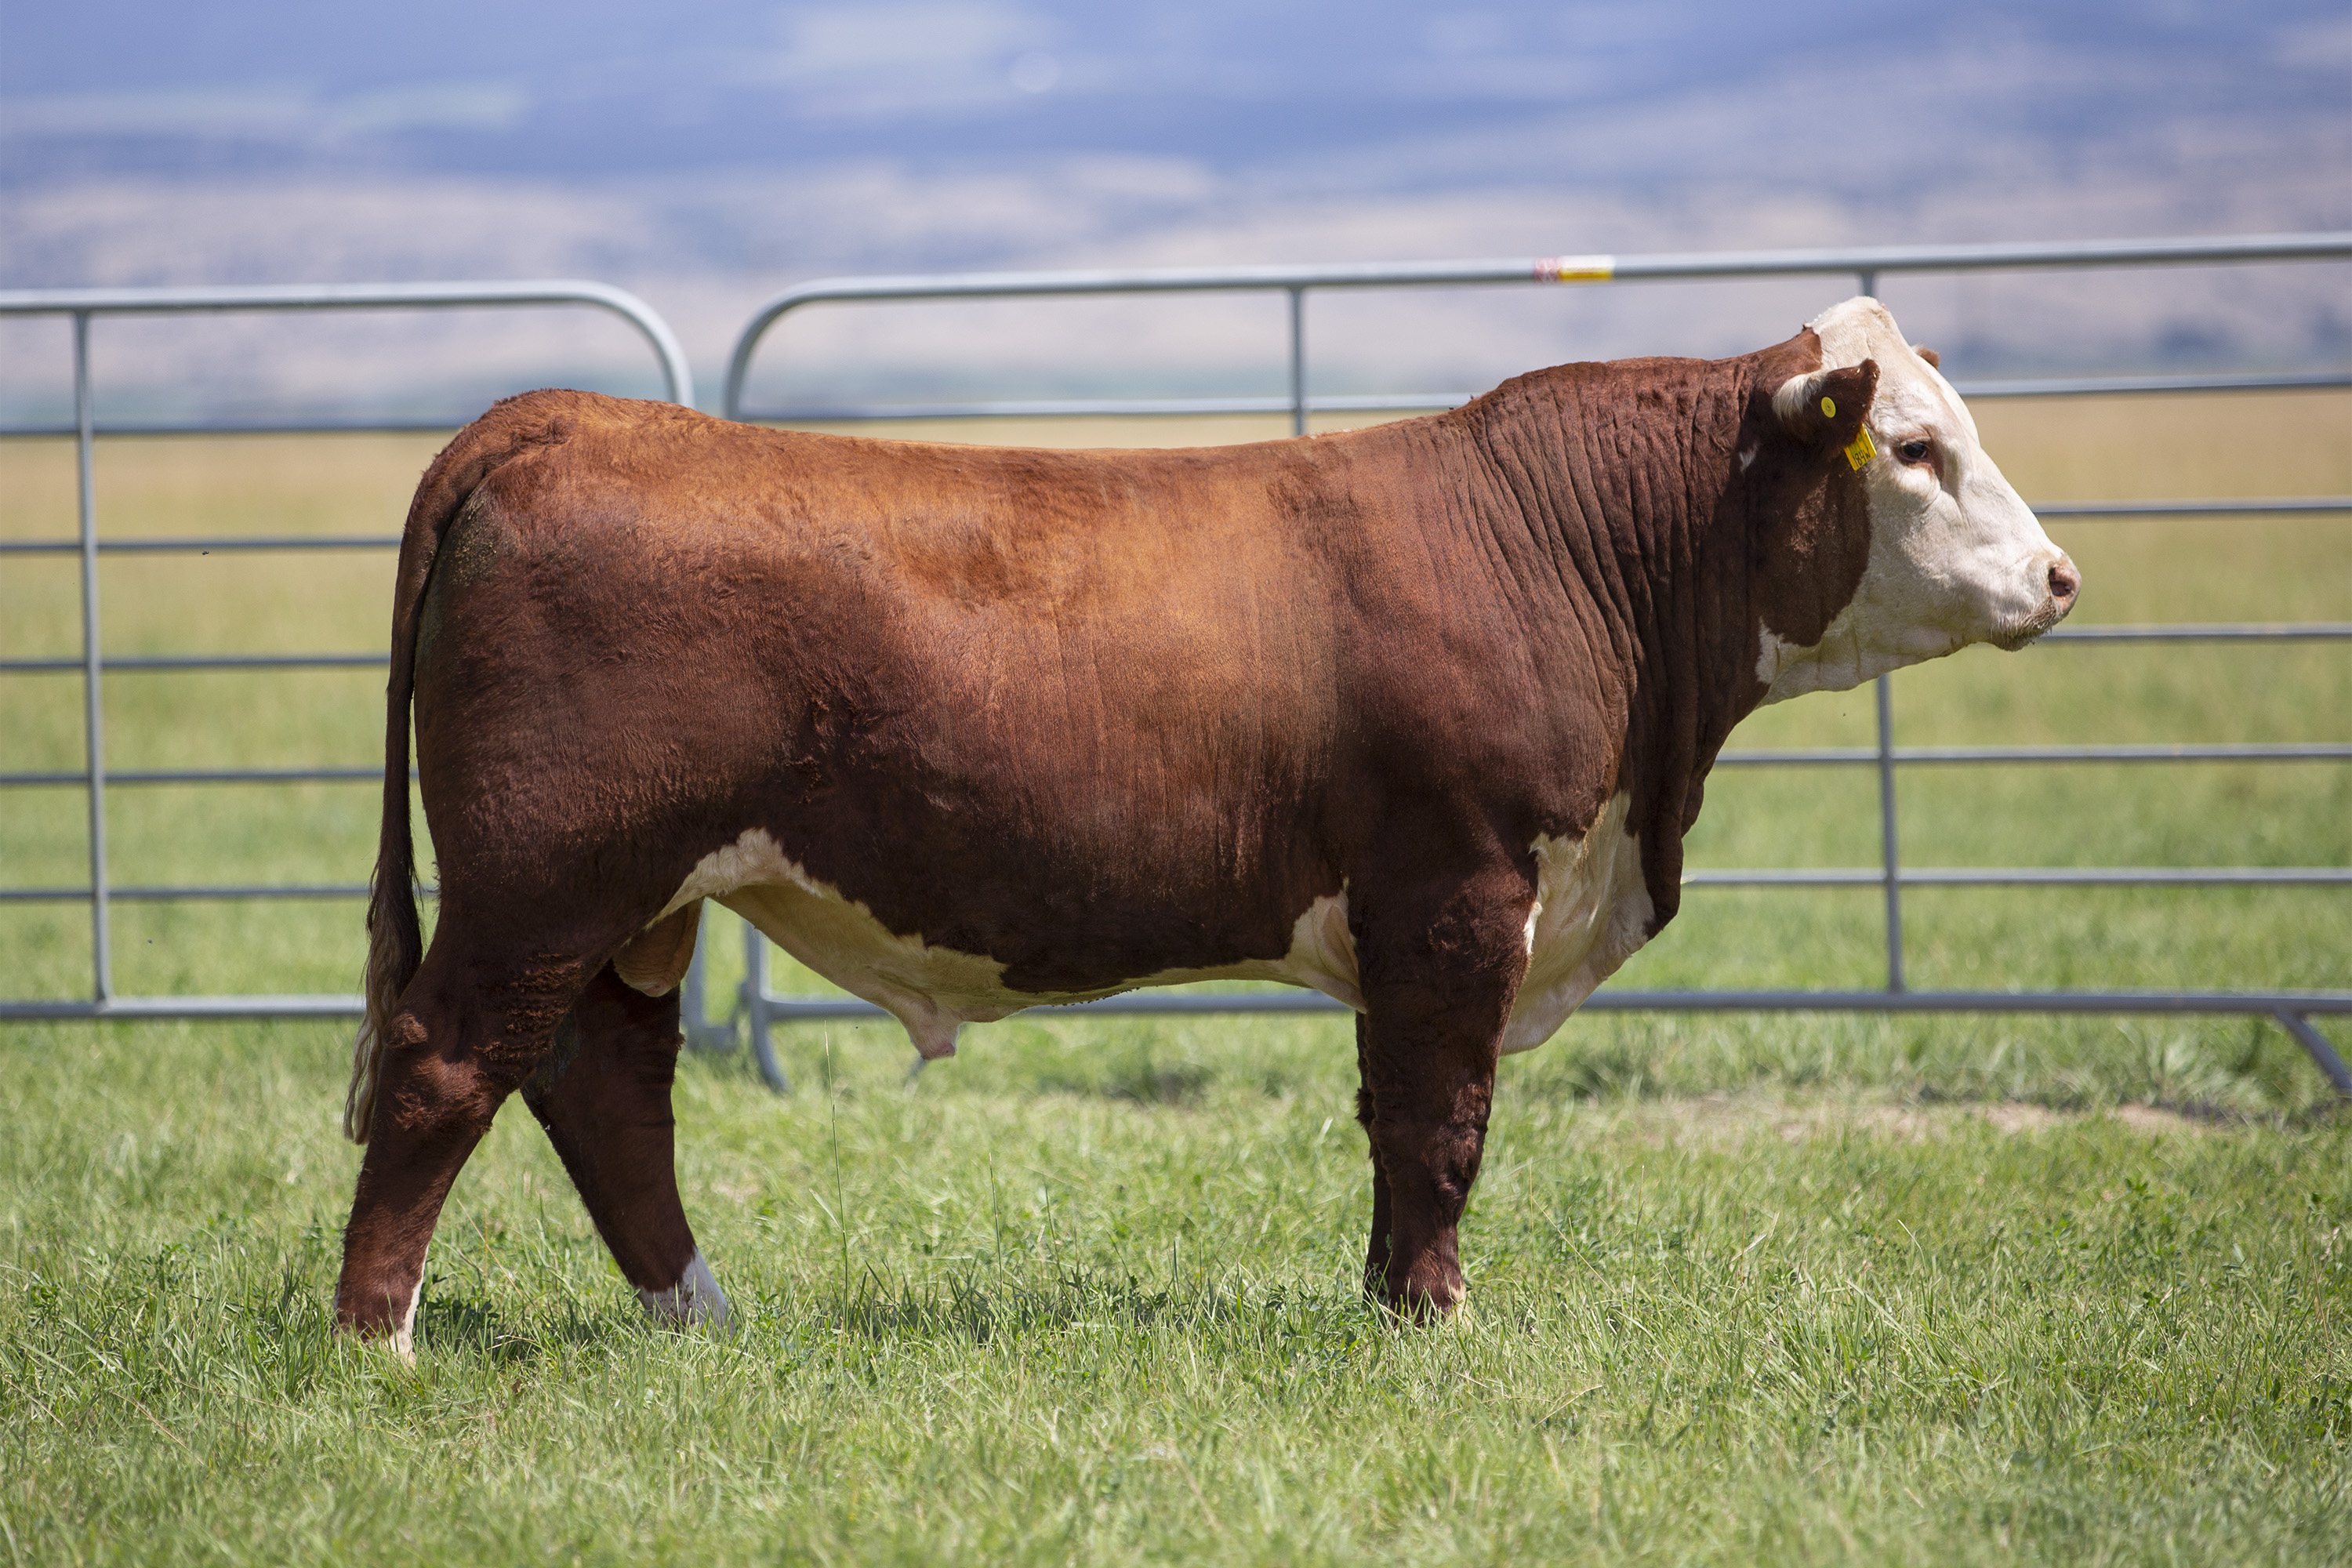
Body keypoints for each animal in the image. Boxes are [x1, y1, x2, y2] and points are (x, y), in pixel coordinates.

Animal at [333, 298, 2077, 1356]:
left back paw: (699, 1316)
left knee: (602, 1084)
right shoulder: (1458, 888)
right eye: (1913, 446)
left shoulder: (1414, 914)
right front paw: (1436, 1321)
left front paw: (1388, 1304)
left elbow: (1393, 1119)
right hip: (550, 874)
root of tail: (568, 416)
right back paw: (378, 1342)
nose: (2060, 577)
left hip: (635, 904)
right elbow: (1442, 1121)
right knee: (446, 1064)